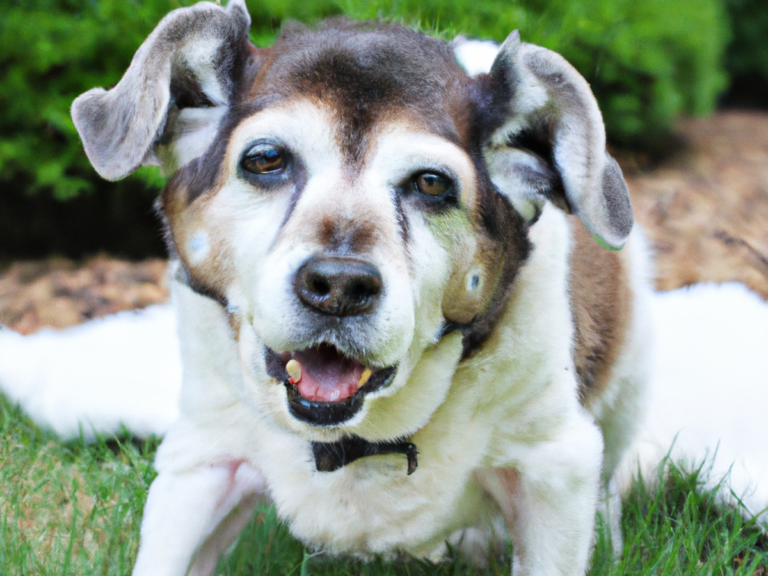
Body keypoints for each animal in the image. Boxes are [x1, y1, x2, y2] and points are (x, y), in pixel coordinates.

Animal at [70, 2, 656, 572]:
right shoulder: (201, 459)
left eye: (432, 183)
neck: (353, 440)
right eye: (265, 159)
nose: (338, 286)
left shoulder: (554, 468)